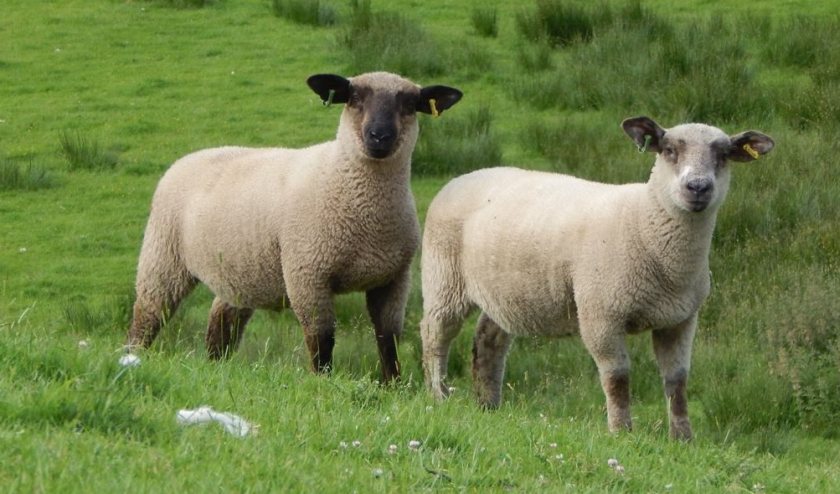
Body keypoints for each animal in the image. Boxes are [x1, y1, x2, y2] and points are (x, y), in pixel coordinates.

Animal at [125, 71, 462, 382]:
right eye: (354, 98)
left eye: (409, 104)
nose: (379, 136)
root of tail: (187, 158)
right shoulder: (308, 273)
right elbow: (321, 338)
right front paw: (323, 383)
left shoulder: (392, 278)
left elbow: (388, 338)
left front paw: (393, 385)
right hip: (163, 258)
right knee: (147, 316)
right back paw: (132, 359)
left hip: (239, 272)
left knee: (221, 324)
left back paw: (214, 367)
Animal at [419, 116, 774, 439]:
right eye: (669, 150)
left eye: (724, 155)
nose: (698, 188)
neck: (645, 223)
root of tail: (463, 177)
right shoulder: (601, 314)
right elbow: (617, 377)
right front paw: (621, 431)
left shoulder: (679, 320)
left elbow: (677, 380)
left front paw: (683, 438)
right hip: (444, 278)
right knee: (435, 333)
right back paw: (438, 395)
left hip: (505, 290)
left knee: (488, 341)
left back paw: (488, 405)